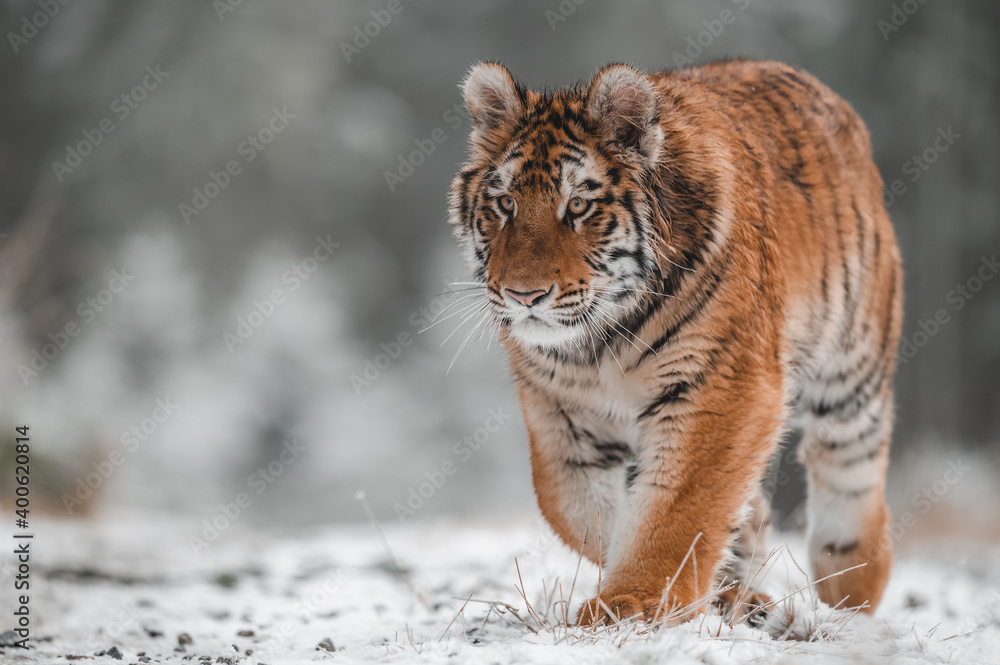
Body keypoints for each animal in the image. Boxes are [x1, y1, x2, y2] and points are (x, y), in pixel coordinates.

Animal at [448, 58, 903, 626]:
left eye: (578, 206)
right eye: (506, 203)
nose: (523, 295)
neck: (597, 344)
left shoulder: (719, 385)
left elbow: (674, 506)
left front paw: (633, 602)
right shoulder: (560, 411)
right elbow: (579, 506)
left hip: (851, 372)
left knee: (850, 466)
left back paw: (852, 588)